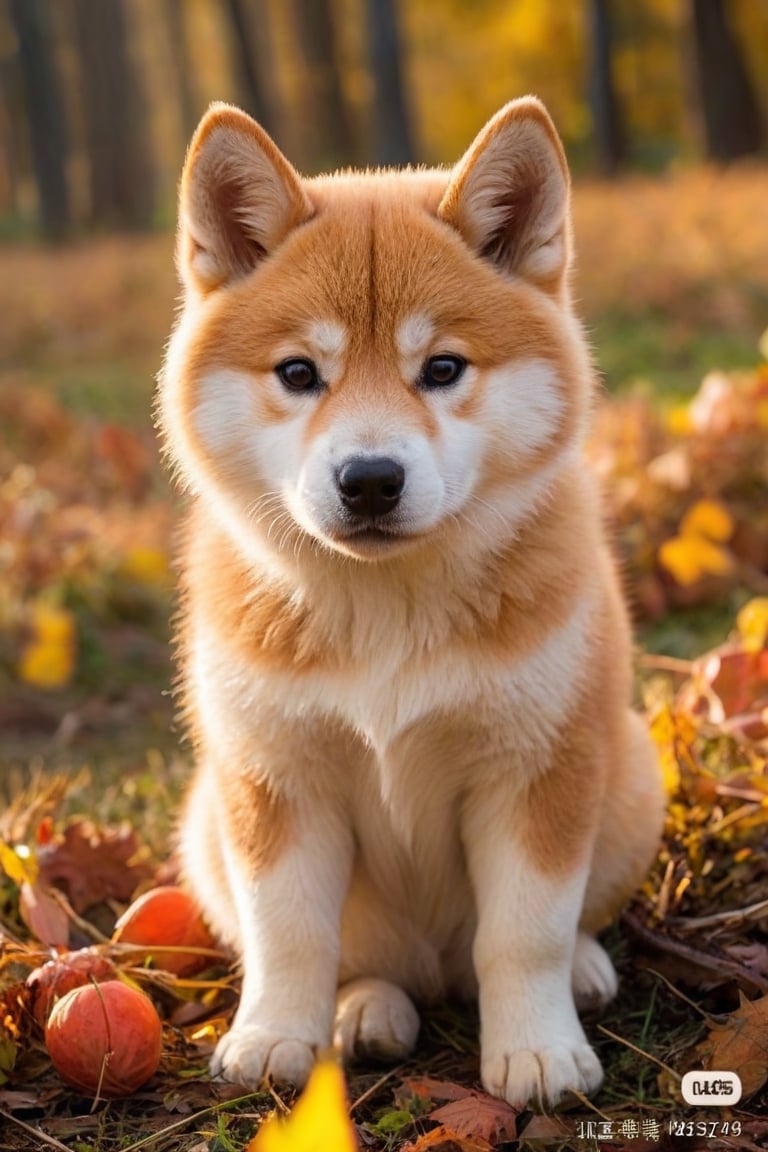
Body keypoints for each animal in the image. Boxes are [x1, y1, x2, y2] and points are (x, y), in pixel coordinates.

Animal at [157, 96, 667, 1105]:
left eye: (442, 368)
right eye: (298, 373)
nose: (369, 479)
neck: (385, 613)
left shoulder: (537, 770)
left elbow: (525, 935)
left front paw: (538, 1052)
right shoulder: (276, 778)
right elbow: (290, 933)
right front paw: (275, 1039)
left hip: (627, 773)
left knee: (546, 932)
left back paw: (585, 969)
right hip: (204, 826)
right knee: (367, 962)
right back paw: (366, 1010)